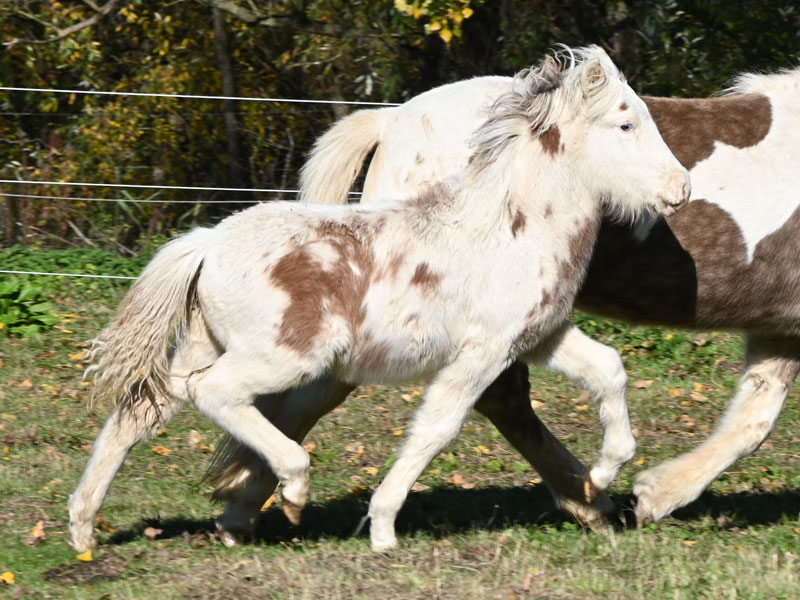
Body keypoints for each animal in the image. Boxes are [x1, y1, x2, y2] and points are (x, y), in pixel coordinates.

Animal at [67, 45, 689, 553]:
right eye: (626, 122)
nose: (680, 189)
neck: (509, 229)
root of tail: (207, 243)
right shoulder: (481, 354)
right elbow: (435, 428)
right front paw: (384, 529)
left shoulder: (539, 337)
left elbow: (609, 370)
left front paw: (603, 476)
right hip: (283, 359)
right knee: (214, 394)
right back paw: (292, 490)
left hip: (202, 346)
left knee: (138, 412)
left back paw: (84, 530)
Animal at [204, 61, 800, 540]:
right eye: (627, 125)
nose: (681, 190)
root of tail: (392, 120)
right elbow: (752, 424)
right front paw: (650, 494)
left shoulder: (780, 331)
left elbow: (752, 420)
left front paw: (653, 493)